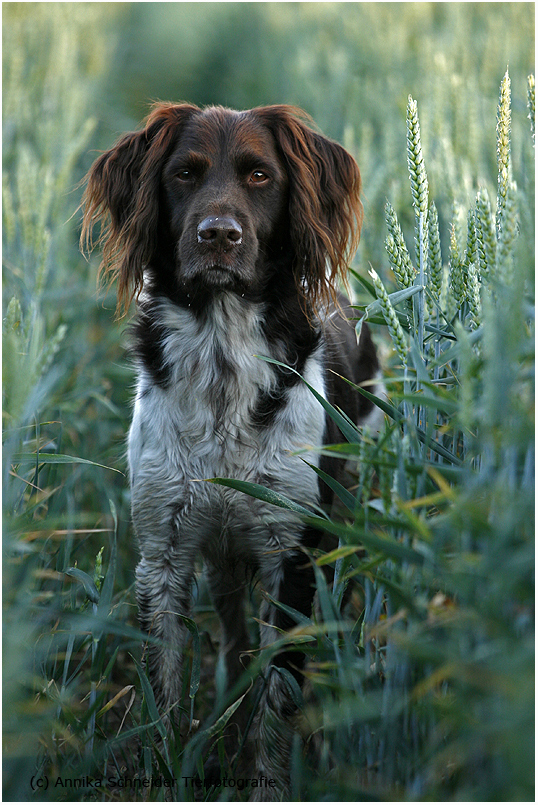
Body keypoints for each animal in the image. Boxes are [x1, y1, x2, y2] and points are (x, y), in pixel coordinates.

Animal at [81, 102, 378, 796]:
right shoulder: (163, 557)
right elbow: (164, 700)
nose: (219, 234)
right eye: (185, 174)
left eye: (260, 175)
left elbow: (277, 698)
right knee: (236, 639)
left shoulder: (292, 555)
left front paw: (267, 781)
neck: (221, 362)